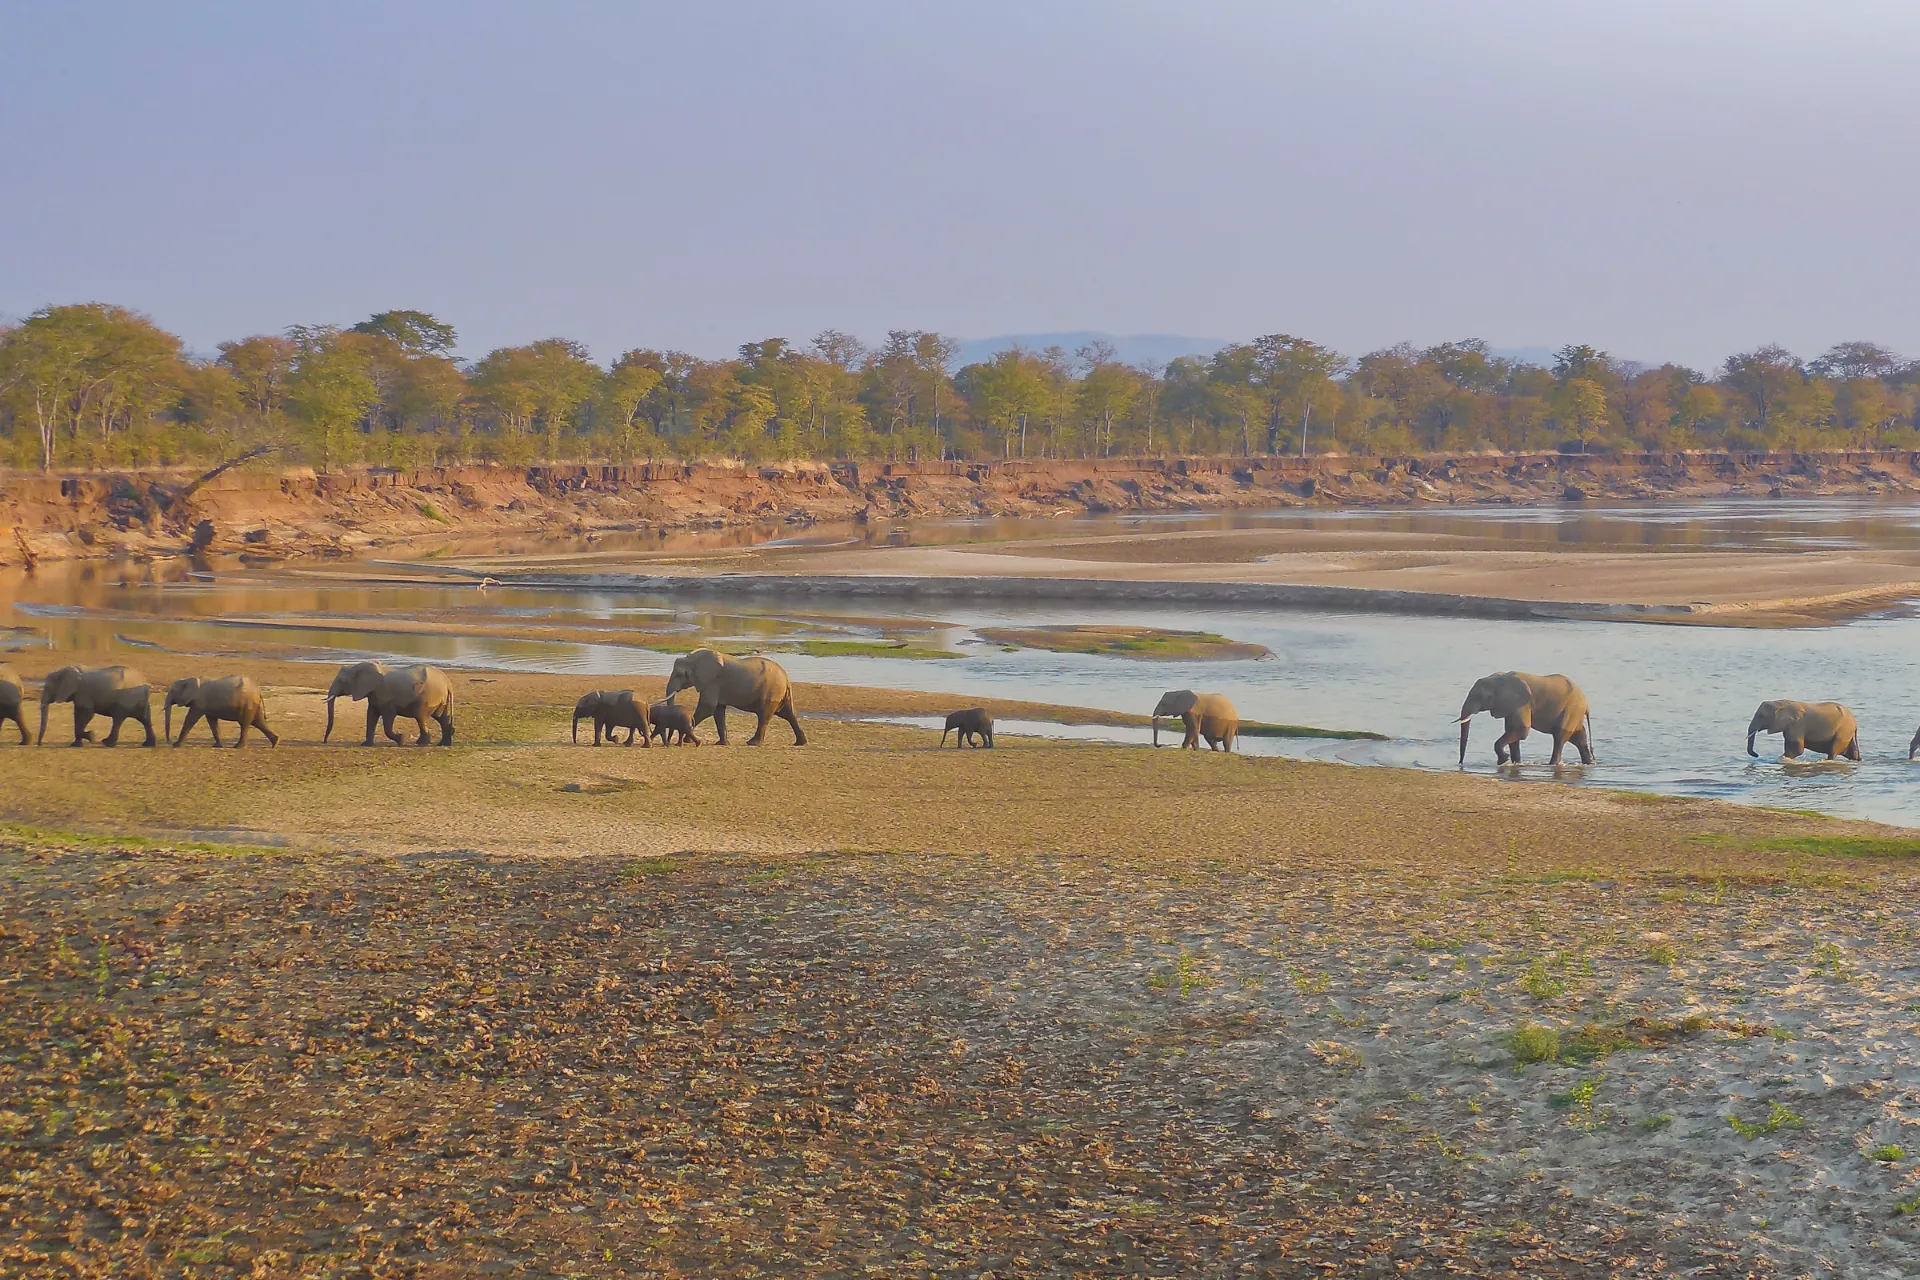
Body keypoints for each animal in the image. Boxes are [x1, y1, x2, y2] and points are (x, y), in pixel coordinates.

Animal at [324, 661, 455, 746]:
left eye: (341, 681)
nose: (324, 742)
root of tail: (448, 683)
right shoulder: (374, 694)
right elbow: (371, 715)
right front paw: (366, 745)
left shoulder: (386, 697)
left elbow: (388, 717)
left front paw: (401, 739)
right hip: (440, 698)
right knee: (441, 717)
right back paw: (443, 744)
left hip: (428, 696)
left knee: (420, 716)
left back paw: (422, 744)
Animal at [663, 648, 805, 746]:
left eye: (680, 674)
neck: (693, 659)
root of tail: (786, 678)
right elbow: (718, 710)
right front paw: (722, 744)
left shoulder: (713, 682)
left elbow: (708, 707)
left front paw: (688, 740)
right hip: (779, 693)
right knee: (788, 714)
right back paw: (800, 743)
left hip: (771, 691)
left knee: (764, 716)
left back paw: (752, 743)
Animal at [1456, 672, 1592, 765]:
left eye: (1479, 696)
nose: (1460, 763)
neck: (1501, 678)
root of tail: (1586, 704)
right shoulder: (1511, 705)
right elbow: (1513, 732)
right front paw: (1515, 763)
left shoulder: (1523, 704)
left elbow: (1521, 730)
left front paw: (1503, 760)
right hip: (1575, 714)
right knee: (1579, 738)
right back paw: (1589, 763)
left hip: (1571, 711)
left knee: (1560, 737)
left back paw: (1552, 764)